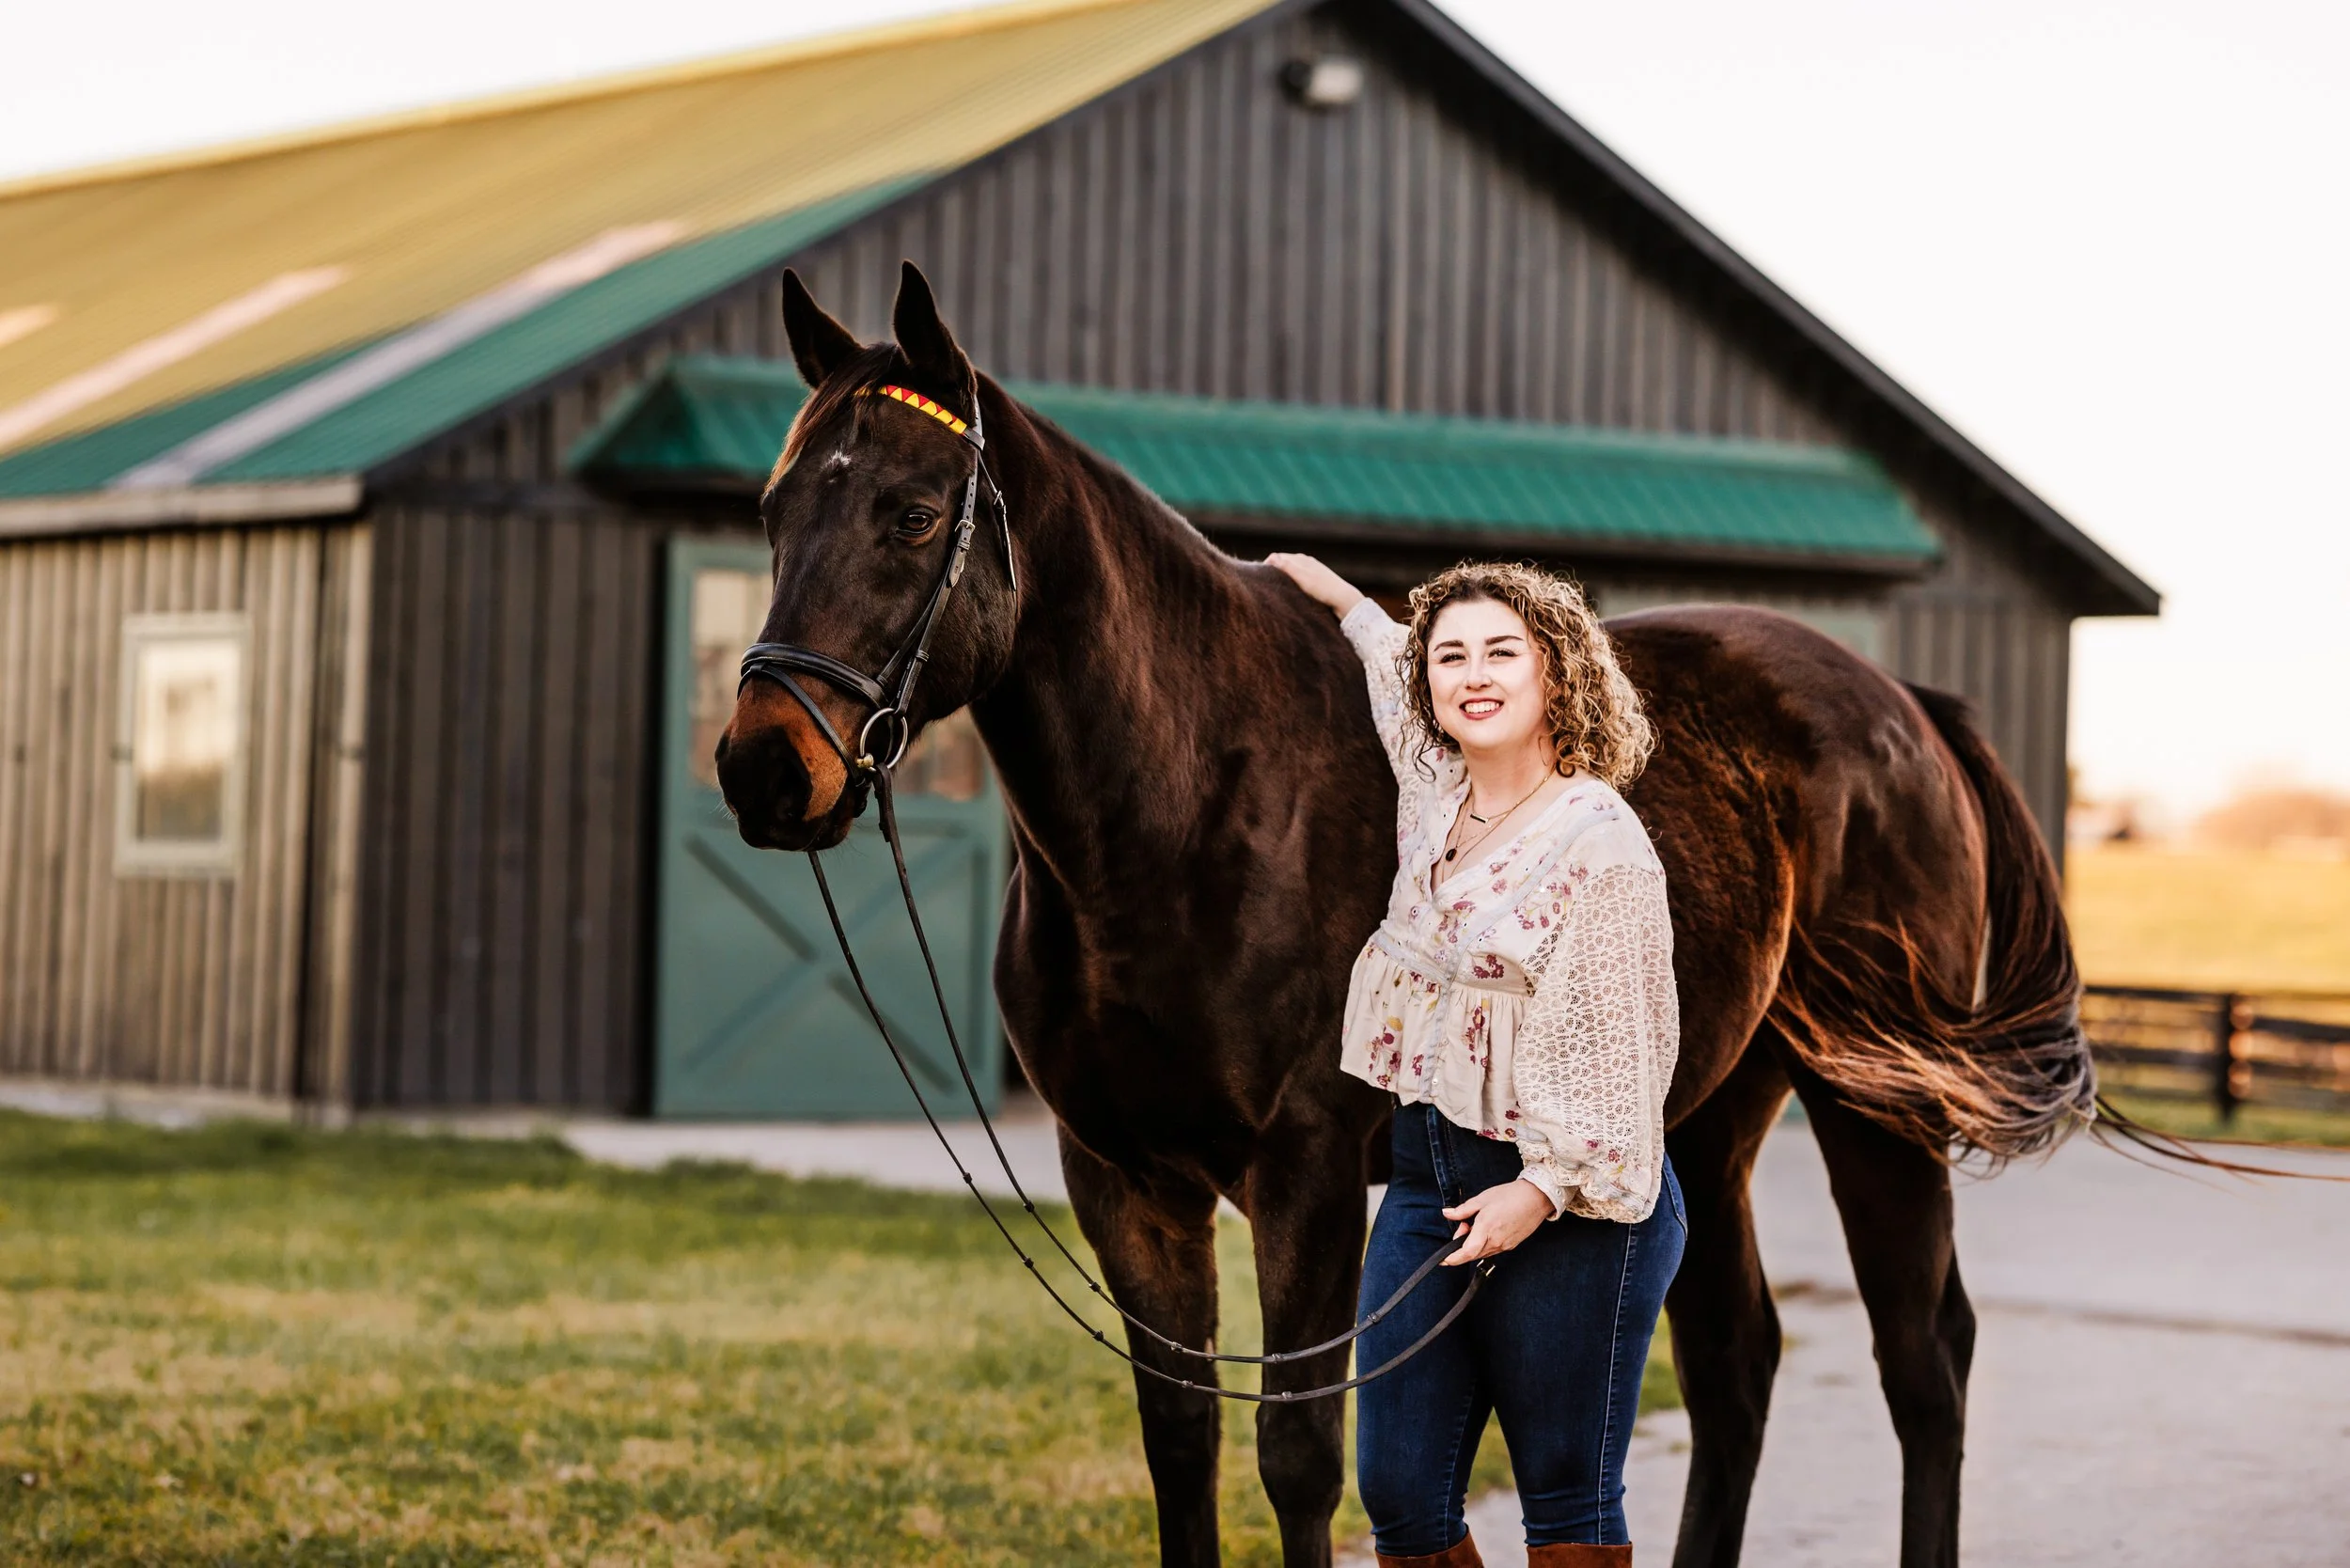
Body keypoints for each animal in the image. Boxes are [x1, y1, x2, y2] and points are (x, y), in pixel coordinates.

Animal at [714, 261, 2095, 1568]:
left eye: (911, 513)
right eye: (775, 514)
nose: (764, 769)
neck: (1191, 805)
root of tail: (1905, 705)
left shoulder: (1309, 1175)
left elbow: (1298, 1459)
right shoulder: (1122, 1179)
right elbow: (1178, 1440)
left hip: (1876, 1110)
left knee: (1924, 1364)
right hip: (1701, 1114)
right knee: (1734, 1361)